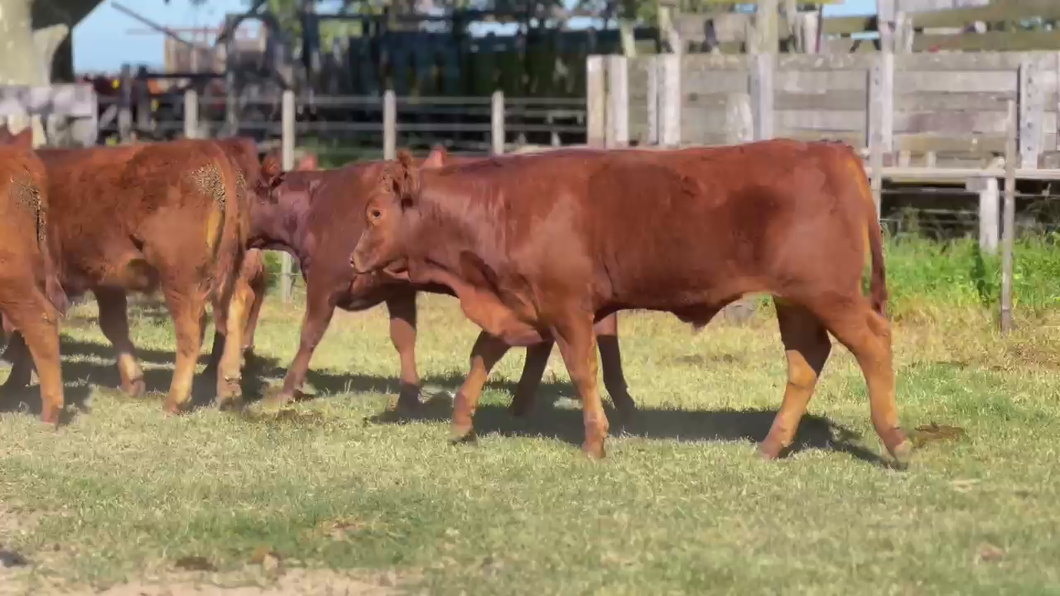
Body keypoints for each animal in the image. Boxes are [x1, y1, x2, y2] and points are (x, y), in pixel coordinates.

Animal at [4, 137, 248, 413]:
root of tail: (206, 148)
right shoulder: (106, 281)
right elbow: (113, 324)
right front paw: (133, 382)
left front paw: (14, 383)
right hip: (229, 269)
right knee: (235, 308)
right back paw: (230, 390)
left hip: (180, 277)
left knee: (191, 325)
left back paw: (175, 400)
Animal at [243, 150, 631, 415]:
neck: (316, 205)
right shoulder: (396, 289)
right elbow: (403, 336)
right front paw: (409, 395)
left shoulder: (326, 281)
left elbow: (309, 334)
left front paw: (286, 390)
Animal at [351, 138, 915, 464]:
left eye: (375, 213)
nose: (354, 259)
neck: (505, 208)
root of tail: (830, 148)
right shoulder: (520, 304)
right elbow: (481, 354)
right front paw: (461, 422)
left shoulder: (567, 307)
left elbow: (583, 370)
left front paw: (594, 441)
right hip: (794, 299)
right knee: (806, 361)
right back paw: (771, 445)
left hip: (828, 293)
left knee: (873, 342)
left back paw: (896, 441)